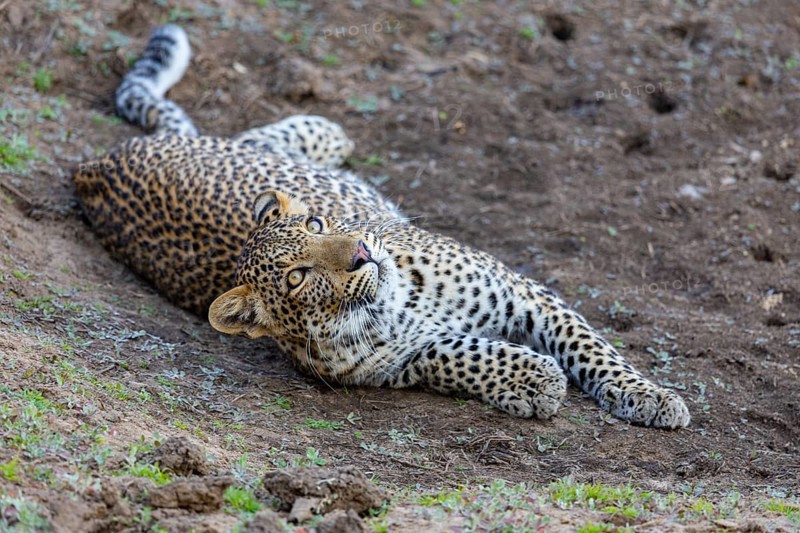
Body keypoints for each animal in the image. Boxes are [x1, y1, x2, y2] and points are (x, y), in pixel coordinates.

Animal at [75, 25, 690, 428]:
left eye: (318, 221)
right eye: (296, 277)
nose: (360, 254)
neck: (401, 299)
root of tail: (92, 165)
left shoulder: (526, 293)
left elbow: (592, 347)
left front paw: (650, 396)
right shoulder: (403, 361)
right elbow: (461, 355)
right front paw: (531, 381)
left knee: (258, 134)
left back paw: (327, 127)